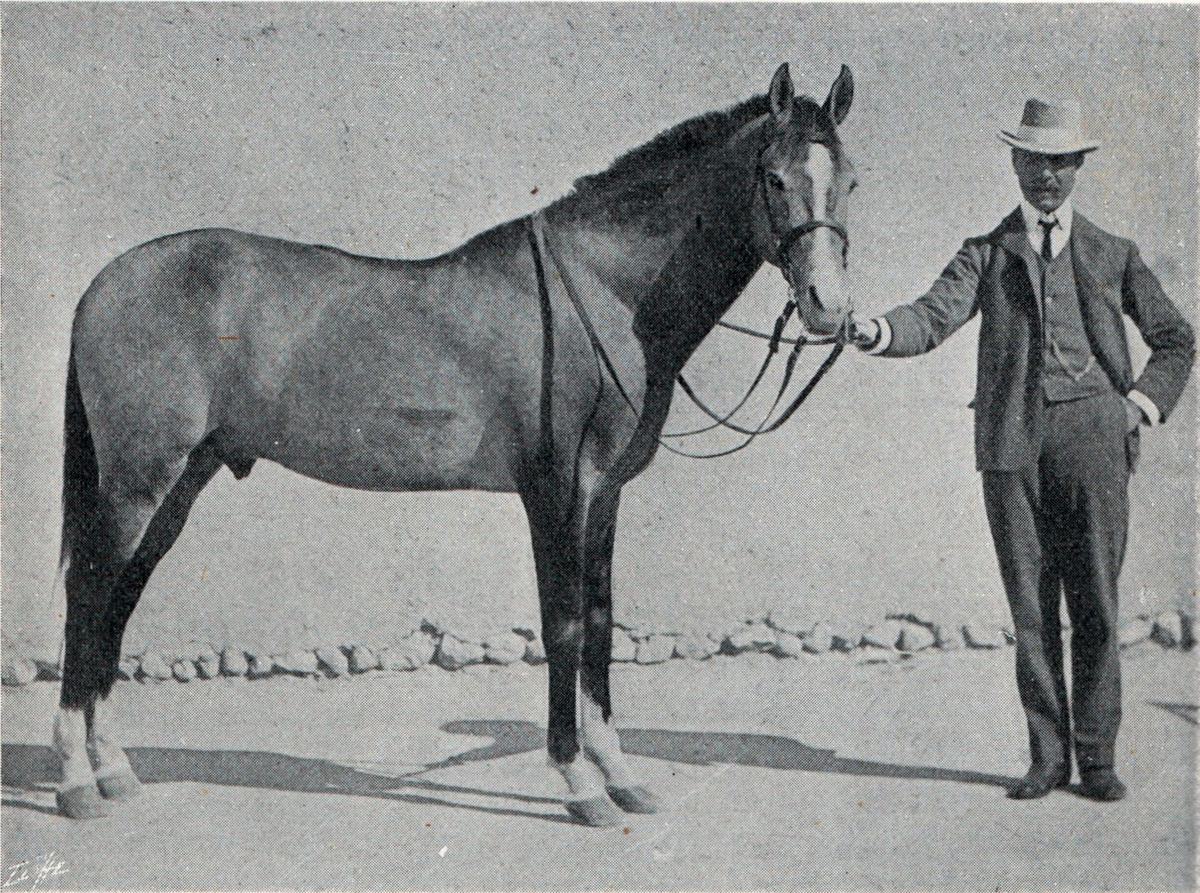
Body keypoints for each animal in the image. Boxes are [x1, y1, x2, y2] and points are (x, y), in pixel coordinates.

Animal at [52, 63, 858, 826]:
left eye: (848, 180)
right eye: (774, 177)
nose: (830, 308)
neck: (602, 294)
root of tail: (101, 284)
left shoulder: (603, 495)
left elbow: (600, 622)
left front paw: (620, 775)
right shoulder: (554, 492)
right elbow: (564, 625)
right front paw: (578, 782)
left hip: (182, 480)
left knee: (119, 596)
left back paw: (114, 767)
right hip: (138, 482)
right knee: (89, 589)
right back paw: (75, 780)